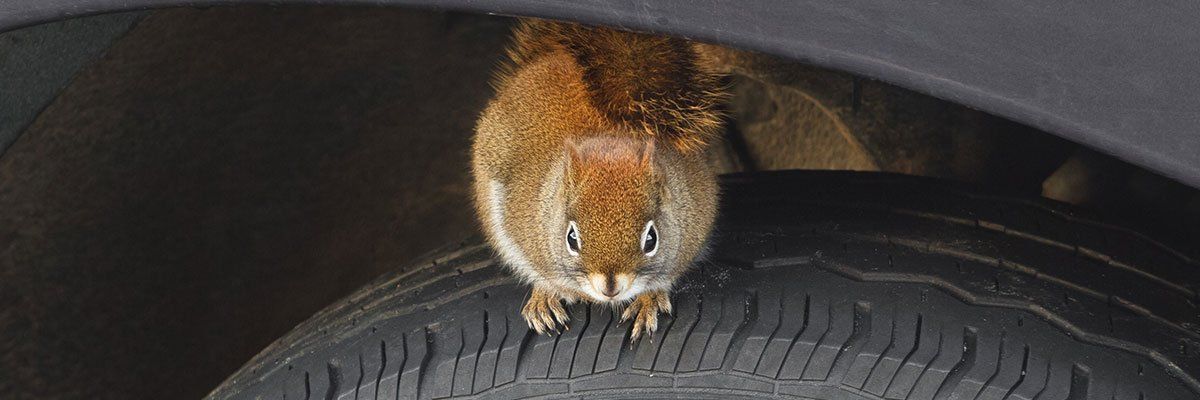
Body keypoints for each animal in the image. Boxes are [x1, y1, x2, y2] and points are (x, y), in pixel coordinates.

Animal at [472, 19, 724, 338]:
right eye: (571, 238)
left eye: (651, 239)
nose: (610, 288)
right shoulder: (521, 223)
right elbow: (538, 269)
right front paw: (545, 293)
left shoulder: (694, 227)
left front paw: (649, 299)